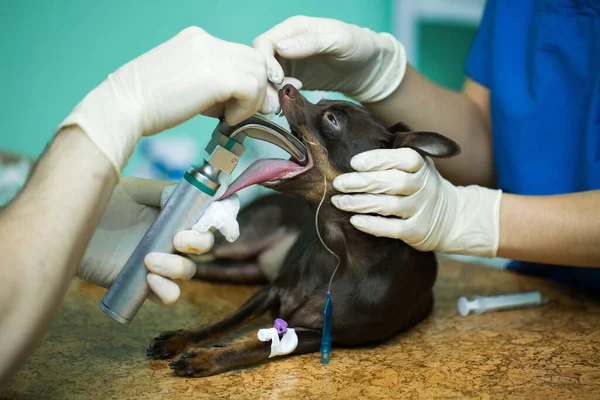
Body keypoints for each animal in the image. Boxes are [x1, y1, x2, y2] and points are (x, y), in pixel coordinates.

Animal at [145, 85, 460, 378]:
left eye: (333, 120)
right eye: (320, 101)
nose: (287, 86)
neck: (338, 252)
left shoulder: (316, 334)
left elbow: (256, 346)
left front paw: (207, 358)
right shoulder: (270, 292)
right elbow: (225, 322)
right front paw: (183, 339)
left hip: (239, 270)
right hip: (236, 246)